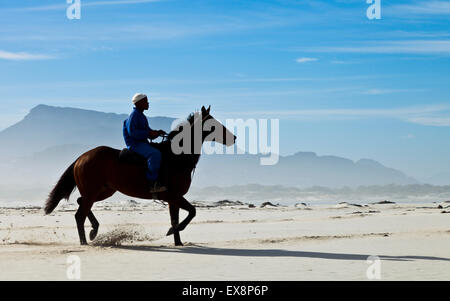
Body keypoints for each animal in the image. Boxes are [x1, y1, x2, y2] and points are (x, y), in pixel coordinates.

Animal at [44, 104, 237, 245]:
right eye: (213, 124)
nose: (234, 137)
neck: (176, 157)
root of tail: (81, 157)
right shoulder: (174, 195)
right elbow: (192, 212)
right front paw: (172, 232)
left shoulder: (172, 199)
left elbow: (177, 219)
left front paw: (178, 241)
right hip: (94, 192)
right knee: (79, 214)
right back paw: (85, 240)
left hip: (104, 191)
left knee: (81, 203)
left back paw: (94, 230)